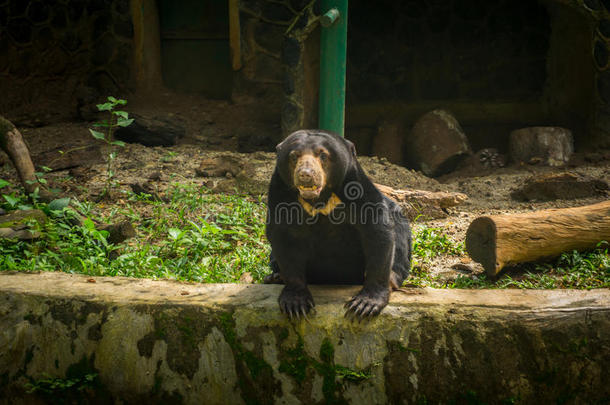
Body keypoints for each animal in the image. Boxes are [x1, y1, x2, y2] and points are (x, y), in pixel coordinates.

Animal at [264, 129, 410, 318]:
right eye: (294, 156)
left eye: (323, 155)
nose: (306, 174)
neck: (319, 198)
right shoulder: (279, 191)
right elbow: (283, 237)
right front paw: (295, 303)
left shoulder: (355, 183)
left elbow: (376, 229)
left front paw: (364, 305)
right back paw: (275, 277)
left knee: (399, 233)